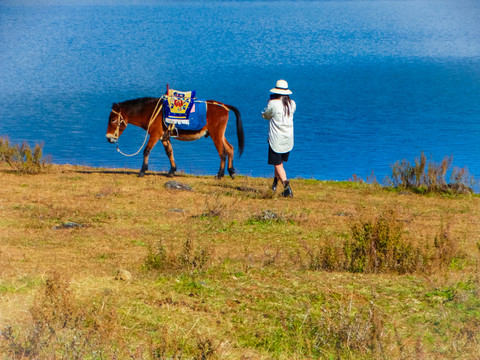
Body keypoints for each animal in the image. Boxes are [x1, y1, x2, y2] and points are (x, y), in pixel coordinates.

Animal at [105, 97, 244, 179]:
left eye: (113, 120)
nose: (108, 138)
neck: (151, 111)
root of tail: (224, 105)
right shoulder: (164, 137)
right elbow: (169, 152)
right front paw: (172, 171)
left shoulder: (155, 135)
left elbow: (146, 150)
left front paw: (142, 171)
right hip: (220, 134)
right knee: (230, 148)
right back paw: (231, 172)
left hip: (216, 134)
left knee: (222, 152)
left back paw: (220, 174)